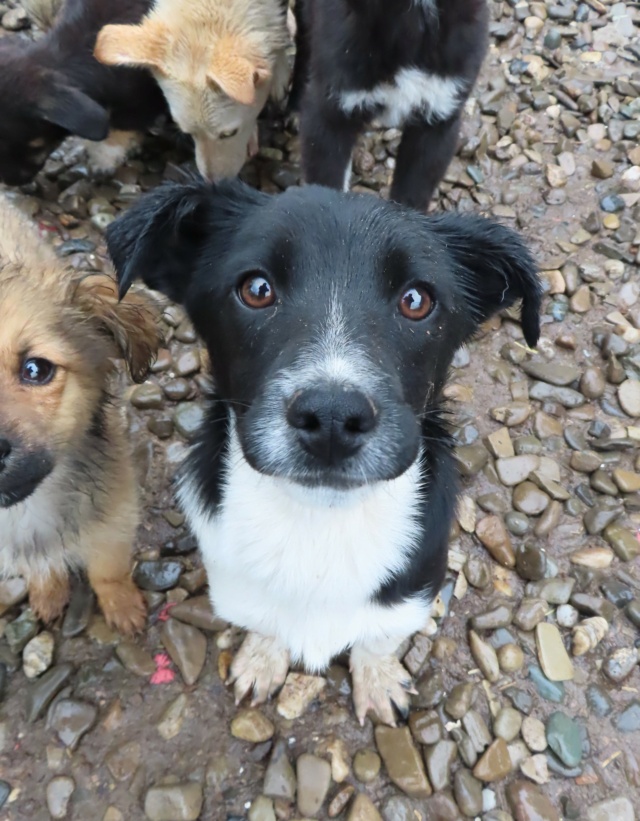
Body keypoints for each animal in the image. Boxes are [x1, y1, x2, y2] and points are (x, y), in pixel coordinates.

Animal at [107, 181, 536, 724]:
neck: (318, 527)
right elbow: (265, 623)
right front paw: (262, 659)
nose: (332, 418)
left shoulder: (411, 593)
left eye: (416, 299)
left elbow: (378, 638)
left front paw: (378, 680)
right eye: (256, 288)